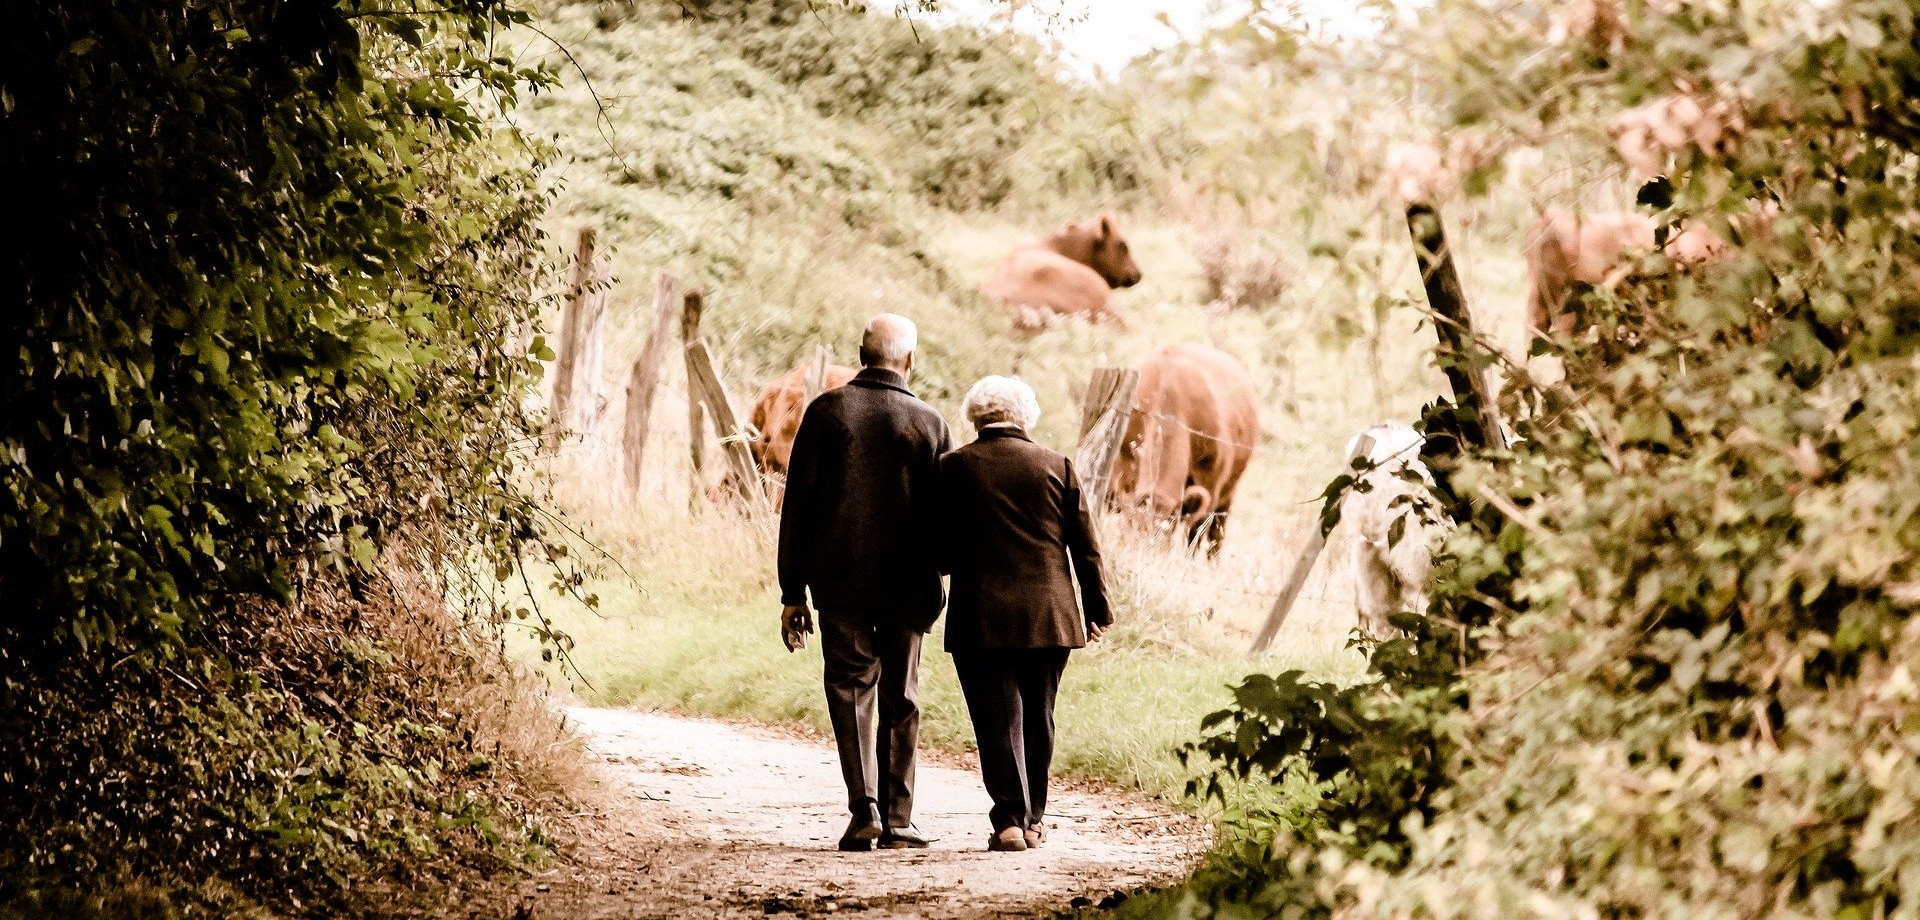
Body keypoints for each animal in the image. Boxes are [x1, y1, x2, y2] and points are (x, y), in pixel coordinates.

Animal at [1113, 339, 1259, 549]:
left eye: (1165, 533)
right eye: (1136, 530)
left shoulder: (1210, 487)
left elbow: (1194, 537)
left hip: (1227, 496)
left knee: (1216, 537)